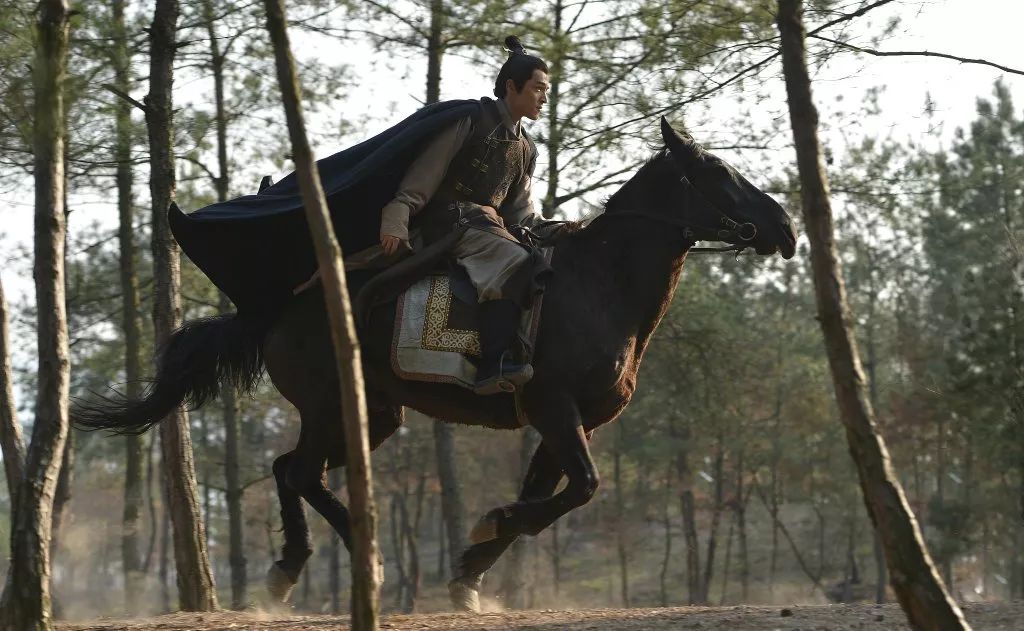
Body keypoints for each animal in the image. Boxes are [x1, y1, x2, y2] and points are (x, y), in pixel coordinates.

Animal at [75, 118, 798, 610]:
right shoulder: (556, 410)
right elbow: (580, 489)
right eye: (716, 170)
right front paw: (484, 532)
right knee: (301, 471)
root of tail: (277, 311)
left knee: (290, 470)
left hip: (373, 415)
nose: (786, 228)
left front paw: (470, 573)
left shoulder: (564, 423)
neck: (599, 285)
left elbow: (547, 495)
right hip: (331, 402)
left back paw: (299, 568)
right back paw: (359, 563)